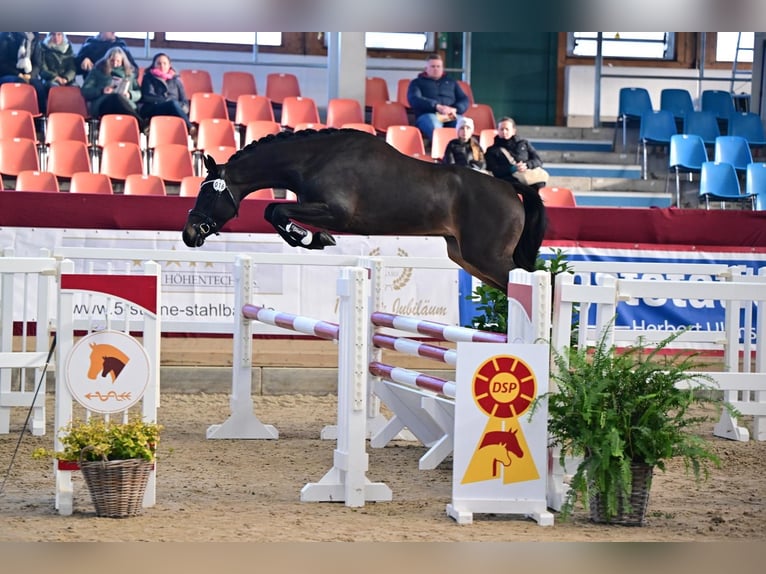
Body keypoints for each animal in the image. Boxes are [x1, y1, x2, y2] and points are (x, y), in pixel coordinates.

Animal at [183, 130, 548, 292]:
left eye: (208, 194)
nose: (189, 234)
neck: (313, 160)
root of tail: (511, 189)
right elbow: (274, 211)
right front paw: (310, 238)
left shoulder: (336, 212)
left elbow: (276, 211)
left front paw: (311, 238)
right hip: (466, 257)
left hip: (488, 257)